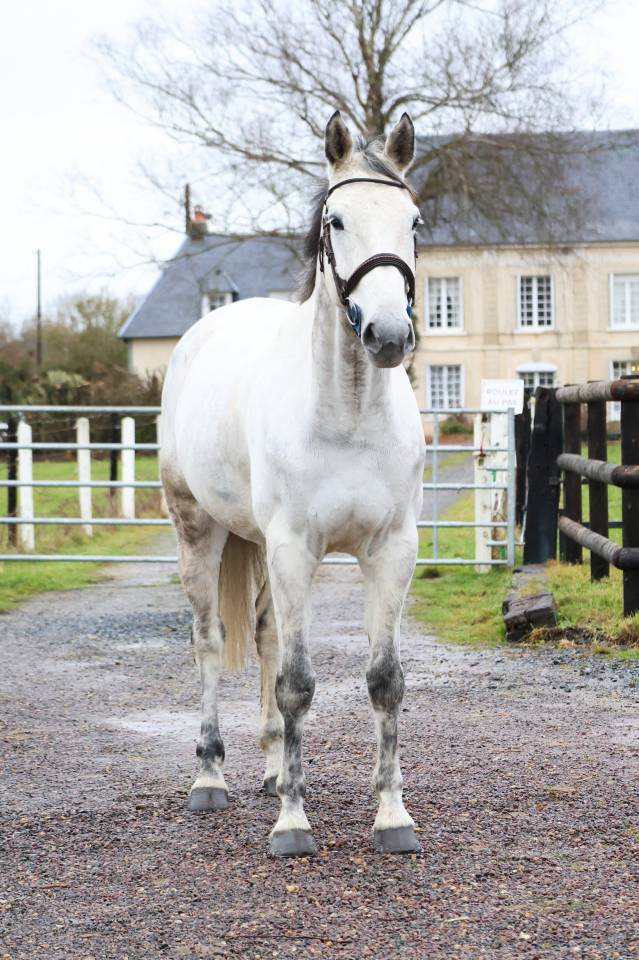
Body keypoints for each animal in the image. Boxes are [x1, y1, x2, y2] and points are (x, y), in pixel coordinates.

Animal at [160, 110, 426, 858]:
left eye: (414, 221)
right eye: (336, 220)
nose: (388, 335)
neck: (347, 413)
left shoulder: (391, 550)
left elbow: (383, 681)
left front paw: (391, 818)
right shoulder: (292, 547)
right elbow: (299, 684)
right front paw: (292, 825)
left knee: (267, 638)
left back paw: (275, 767)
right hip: (199, 531)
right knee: (211, 642)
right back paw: (210, 778)